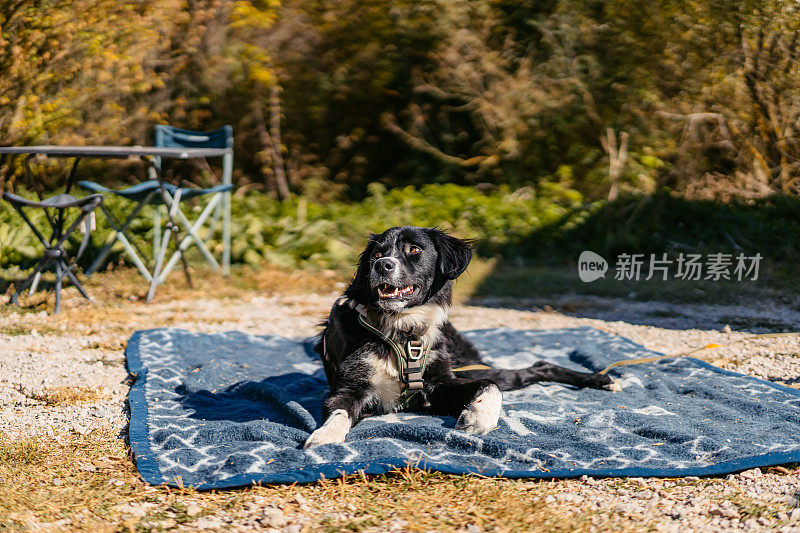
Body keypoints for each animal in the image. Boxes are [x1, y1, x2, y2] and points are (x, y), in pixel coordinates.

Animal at [306, 227, 612, 446]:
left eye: (413, 249)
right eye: (375, 254)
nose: (381, 265)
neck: (403, 329)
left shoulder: (440, 384)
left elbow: (490, 386)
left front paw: (479, 417)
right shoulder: (351, 388)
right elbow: (338, 411)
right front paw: (325, 436)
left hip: (470, 365)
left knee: (534, 368)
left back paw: (601, 379)